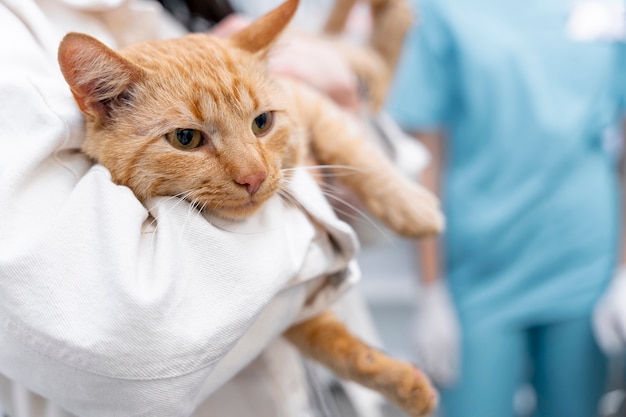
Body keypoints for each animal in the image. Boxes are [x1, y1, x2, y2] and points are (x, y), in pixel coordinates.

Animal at [57, 1, 438, 414]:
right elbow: (329, 338)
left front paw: (415, 210)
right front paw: (396, 378)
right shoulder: (291, 310)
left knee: (378, 60)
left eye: (262, 122)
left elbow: (355, 150)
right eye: (186, 138)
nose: (254, 177)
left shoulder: (308, 100)